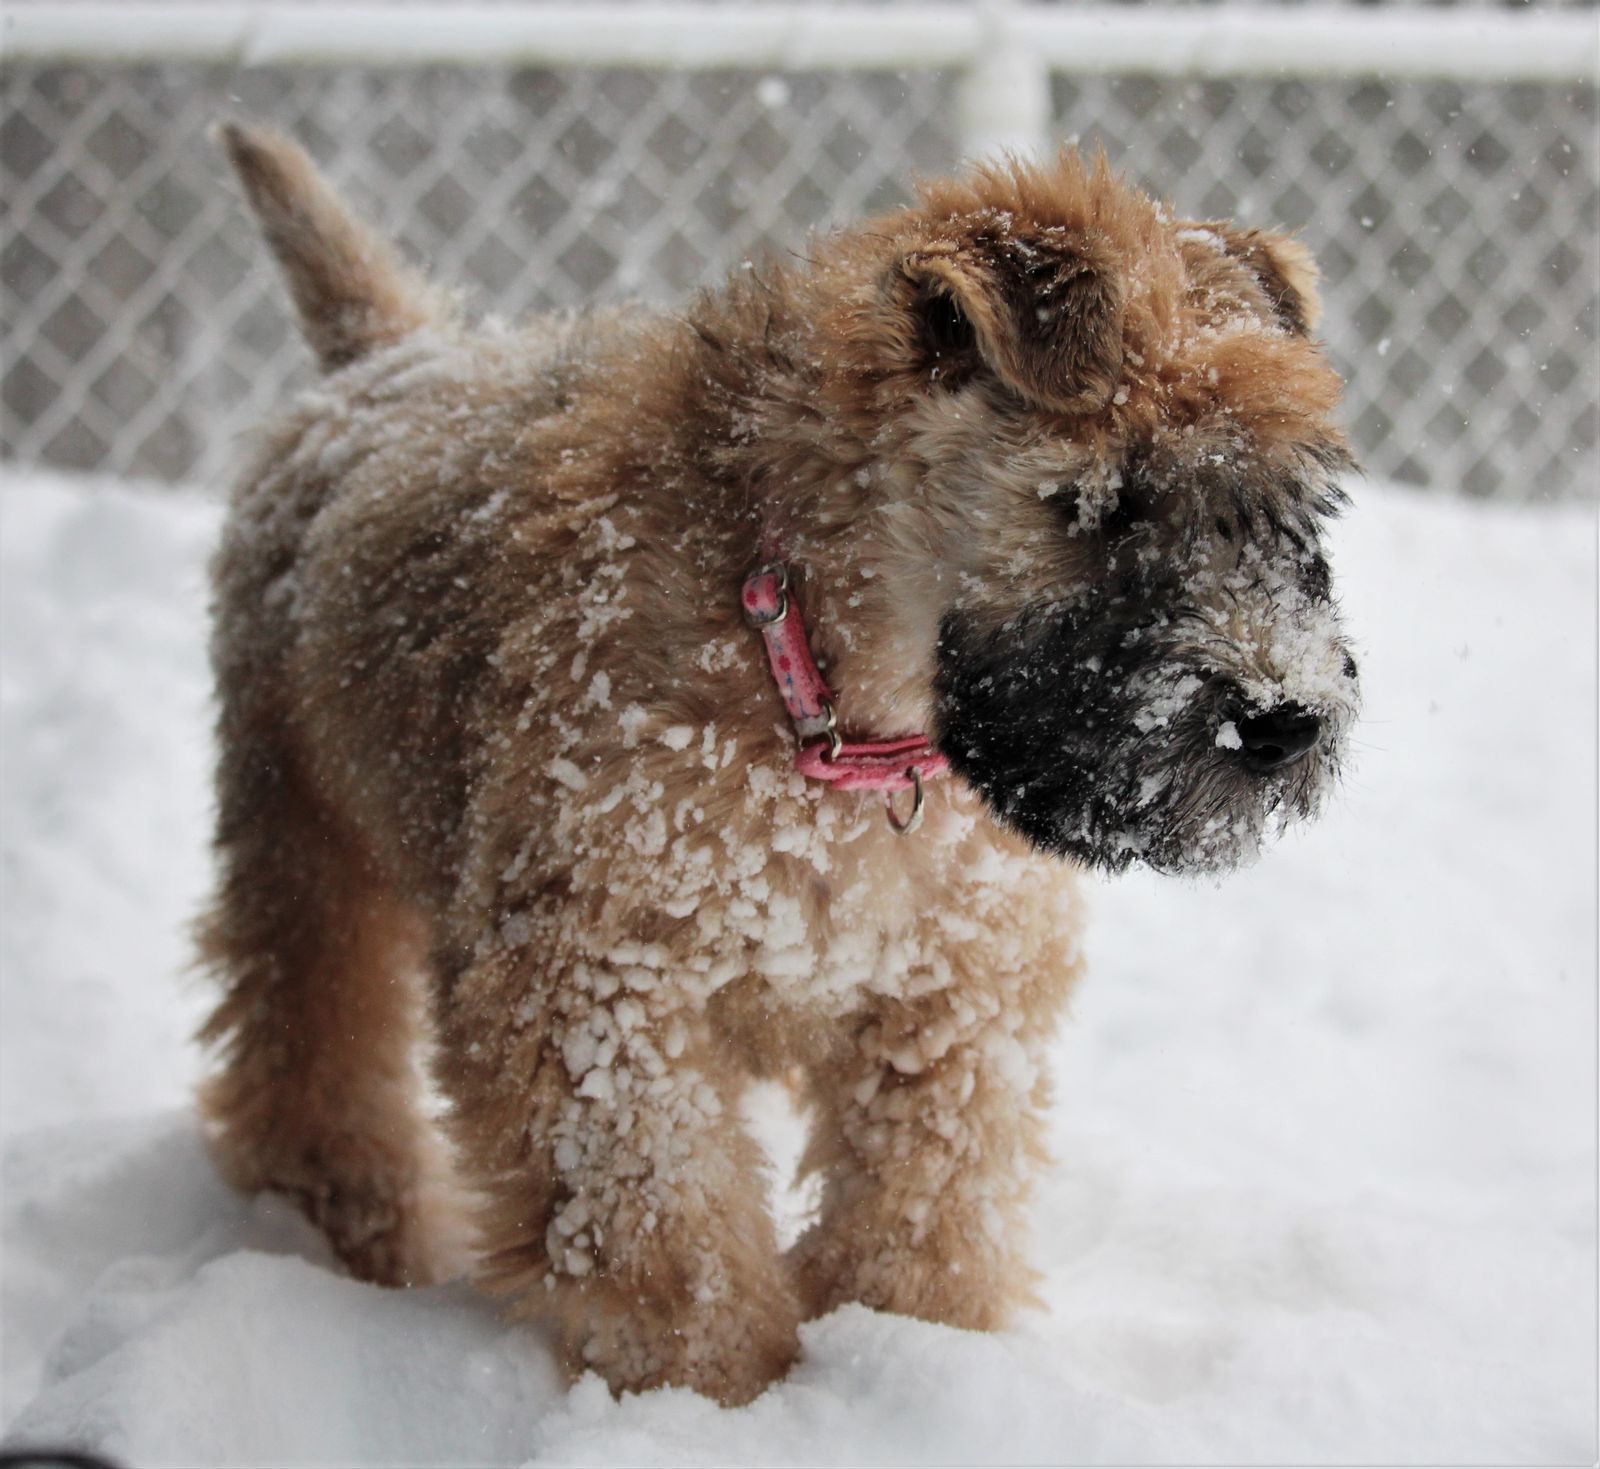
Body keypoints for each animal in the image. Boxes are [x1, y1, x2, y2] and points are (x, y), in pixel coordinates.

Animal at [200, 122, 1359, 1406]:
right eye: (1101, 502)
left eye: (1301, 502)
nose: (1283, 718)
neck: (824, 678)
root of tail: (388, 355)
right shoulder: (599, 985)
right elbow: (672, 1246)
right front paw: (716, 1399)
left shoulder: (951, 996)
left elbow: (921, 1212)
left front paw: (911, 1355)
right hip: (297, 840)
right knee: (308, 1056)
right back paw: (347, 1227)